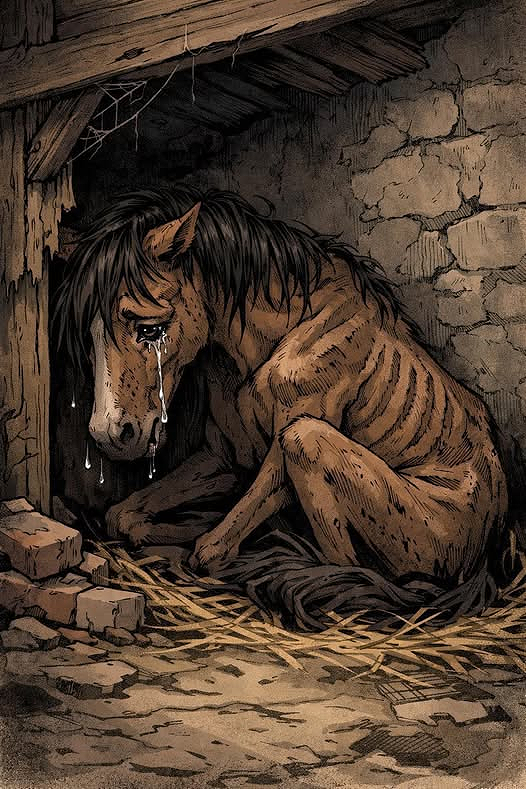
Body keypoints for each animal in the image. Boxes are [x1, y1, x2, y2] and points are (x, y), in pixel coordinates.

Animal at [55, 185, 509, 617]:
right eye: (91, 335)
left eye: (150, 330)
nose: (110, 434)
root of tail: (487, 546)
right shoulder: (226, 457)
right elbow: (124, 516)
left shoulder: (282, 451)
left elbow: (210, 551)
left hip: (309, 444)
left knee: (349, 566)